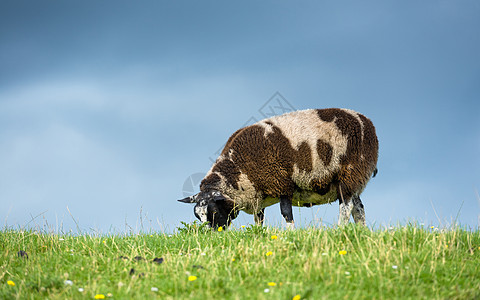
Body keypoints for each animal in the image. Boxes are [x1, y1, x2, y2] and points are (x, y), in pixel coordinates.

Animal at [179, 109, 378, 229]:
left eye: (214, 211)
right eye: (198, 216)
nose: (212, 236)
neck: (239, 172)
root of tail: (366, 122)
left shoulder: (281, 183)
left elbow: (286, 213)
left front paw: (291, 232)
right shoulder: (257, 196)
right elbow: (259, 219)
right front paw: (258, 234)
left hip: (349, 173)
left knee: (346, 206)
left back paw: (340, 229)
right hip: (354, 179)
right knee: (358, 208)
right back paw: (360, 232)